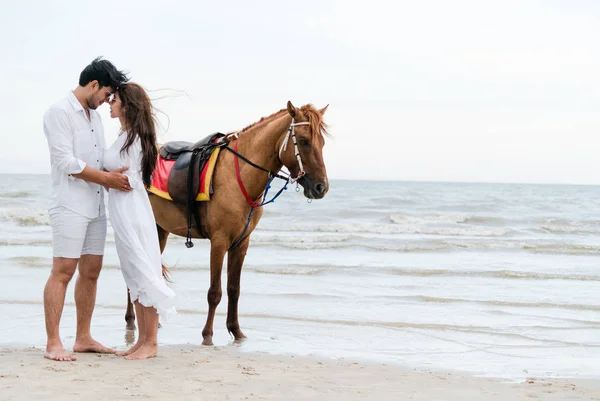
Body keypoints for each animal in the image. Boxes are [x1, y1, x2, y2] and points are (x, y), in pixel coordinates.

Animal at [124, 101, 330, 344]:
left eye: (322, 142)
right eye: (305, 141)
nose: (321, 187)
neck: (237, 174)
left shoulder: (241, 243)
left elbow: (234, 289)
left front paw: (236, 330)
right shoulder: (219, 242)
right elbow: (215, 292)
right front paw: (207, 334)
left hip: (160, 230)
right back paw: (131, 320)